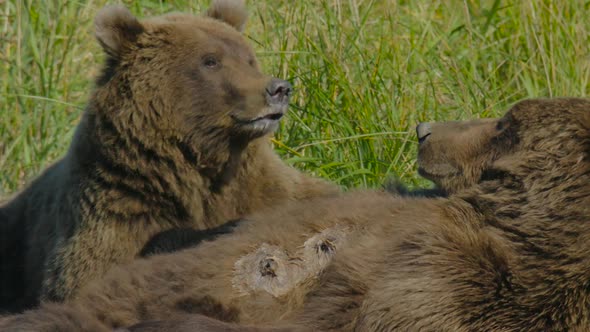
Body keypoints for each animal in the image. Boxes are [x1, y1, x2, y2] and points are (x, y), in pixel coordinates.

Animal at [0, 0, 340, 312]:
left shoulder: (263, 185)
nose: (279, 89)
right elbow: (93, 276)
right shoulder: (116, 199)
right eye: (210, 61)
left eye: (249, 58)